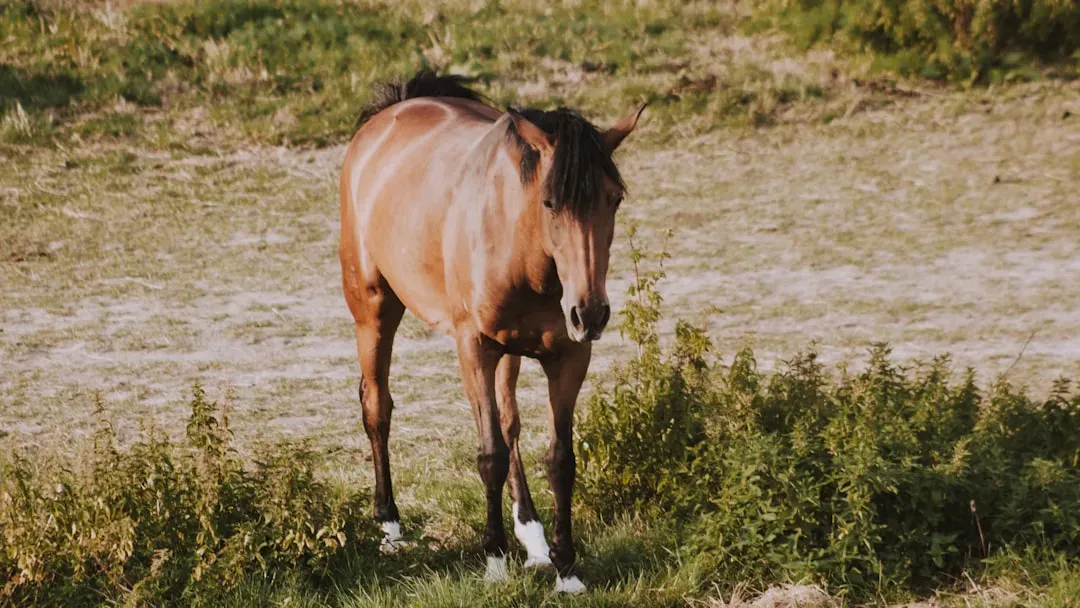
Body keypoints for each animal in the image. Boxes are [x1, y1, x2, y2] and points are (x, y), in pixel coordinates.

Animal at [339, 72, 643, 593]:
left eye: (614, 198)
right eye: (550, 202)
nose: (589, 313)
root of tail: (390, 113)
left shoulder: (568, 356)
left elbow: (558, 458)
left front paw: (566, 567)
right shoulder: (475, 347)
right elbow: (490, 456)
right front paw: (495, 560)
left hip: (510, 350)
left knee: (509, 421)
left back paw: (533, 537)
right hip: (374, 308)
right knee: (376, 404)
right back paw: (391, 526)